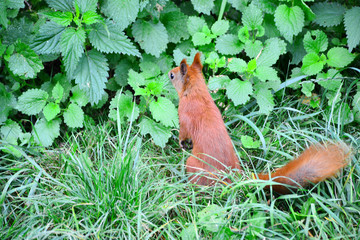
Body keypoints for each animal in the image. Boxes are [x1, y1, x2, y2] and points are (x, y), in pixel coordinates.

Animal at [169, 52, 352, 193]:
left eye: (173, 75)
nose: (168, 74)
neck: (196, 91)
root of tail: (234, 177)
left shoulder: (184, 115)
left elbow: (183, 132)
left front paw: (181, 143)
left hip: (194, 165)